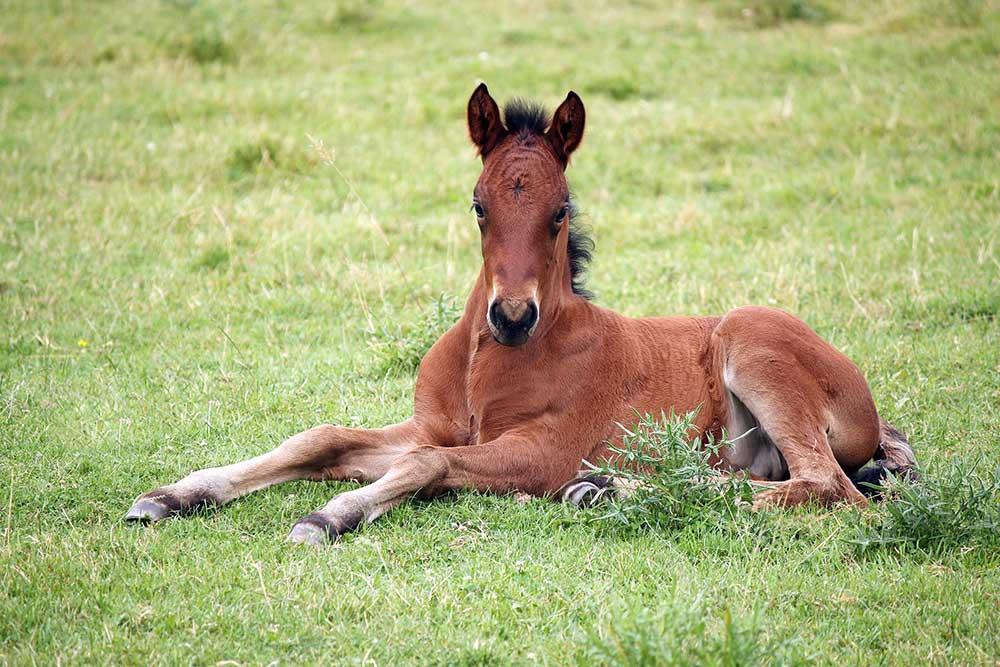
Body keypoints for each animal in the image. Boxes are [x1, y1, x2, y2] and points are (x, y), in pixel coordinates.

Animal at [125, 85, 916, 544]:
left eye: (560, 210)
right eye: (478, 204)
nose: (510, 315)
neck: (489, 361)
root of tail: (872, 411)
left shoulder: (540, 450)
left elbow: (424, 464)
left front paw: (330, 515)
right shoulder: (434, 423)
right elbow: (321, 439)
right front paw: (172, 495)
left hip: (753, 343)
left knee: (833, 489)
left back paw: (606, 488)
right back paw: (603, 489)